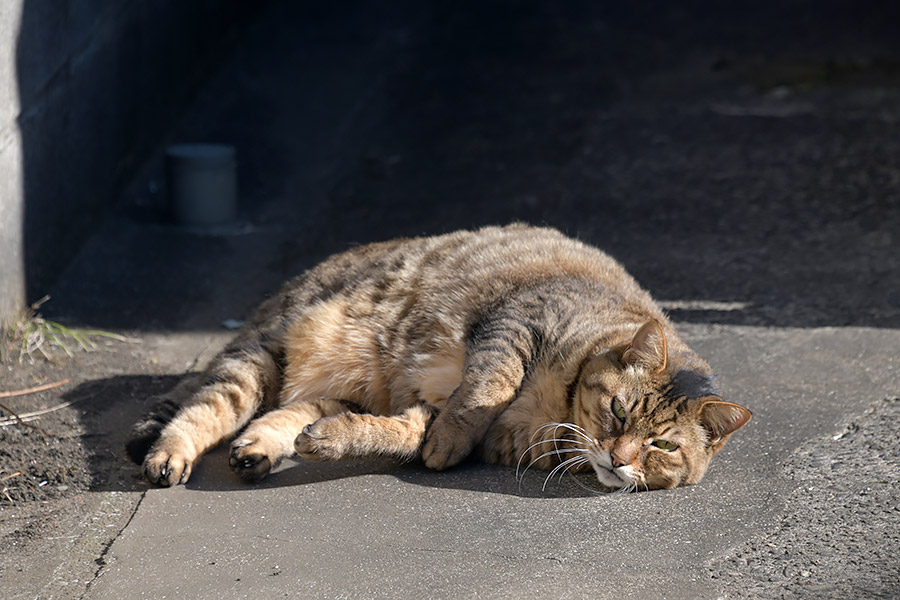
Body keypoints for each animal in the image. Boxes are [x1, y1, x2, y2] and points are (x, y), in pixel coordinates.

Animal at [125, 225, 744, 492]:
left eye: (663, 446)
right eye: (618, 410)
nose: (619, 457)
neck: (555, 412)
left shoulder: (430, 409)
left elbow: (399, 433)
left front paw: (353, 441)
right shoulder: (518, 319)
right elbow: (487, 388)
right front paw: (448, 440)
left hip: (331, 387)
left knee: (285, 413)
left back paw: (261, 448)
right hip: (262, 354)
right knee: (205, 406)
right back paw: (168, 455)